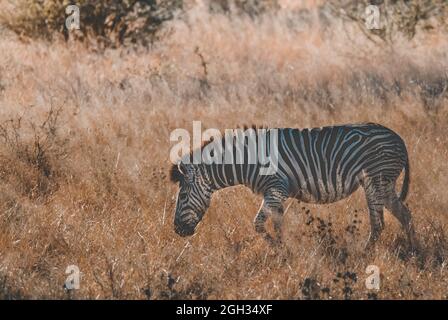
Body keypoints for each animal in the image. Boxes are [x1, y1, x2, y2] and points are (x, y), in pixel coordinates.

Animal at [170, 122, 418, 250]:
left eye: (182, 196)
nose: (177, 231)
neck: (248, 161)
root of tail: (400, 139)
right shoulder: (275, 194)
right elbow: (277, 224)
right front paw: (284, 252)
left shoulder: (275, 189)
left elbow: (258, 224)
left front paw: (276, 248)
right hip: (383, 184)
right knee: (404, 214)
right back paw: (415, 250)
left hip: (376, 180)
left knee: (379, 223)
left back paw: (365, 253)